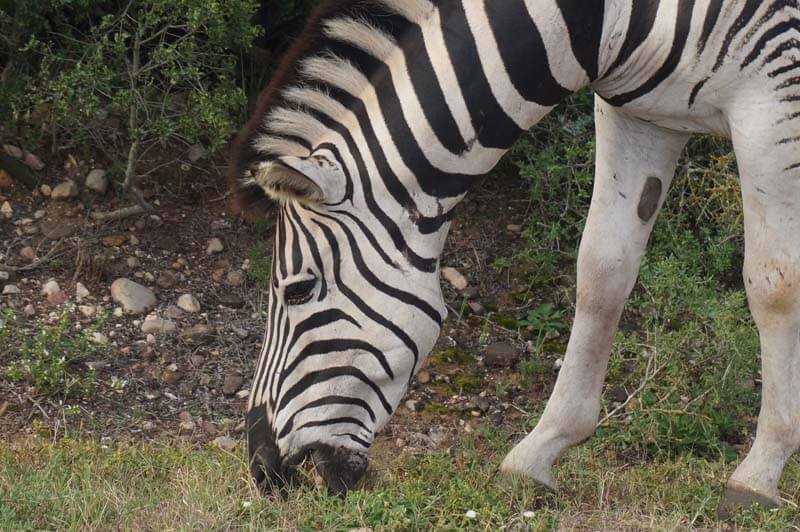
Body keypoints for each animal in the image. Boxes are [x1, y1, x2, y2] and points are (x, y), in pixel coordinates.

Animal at [230, 0, 800, 516]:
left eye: (298, 290)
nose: (263, 470)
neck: (599, 18)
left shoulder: (774, 91)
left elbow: (775, 286)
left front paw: (759, 473)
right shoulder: (640, 114)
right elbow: (602, 271)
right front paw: (538, 452)